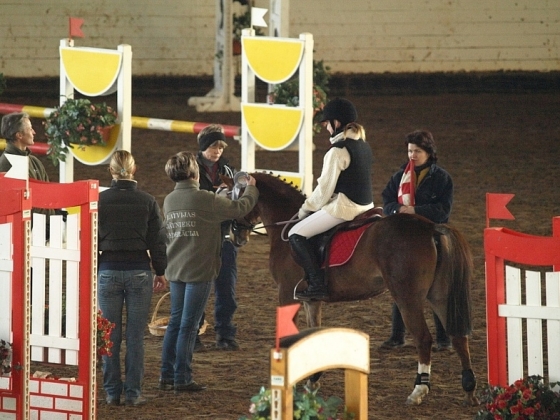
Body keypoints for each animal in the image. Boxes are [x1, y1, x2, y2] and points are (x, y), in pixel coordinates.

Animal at [225, 172, 480, 406]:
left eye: (236, 195)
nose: (235, 235)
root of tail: (431, 227)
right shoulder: (311, 299)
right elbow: (313, 332)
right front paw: (312, 381)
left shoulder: (287, 294)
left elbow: (289, 337)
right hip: (439, 296)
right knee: (459, 337)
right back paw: (469, 389)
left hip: (407, 299)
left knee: (424, 338)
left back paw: (418, 390)